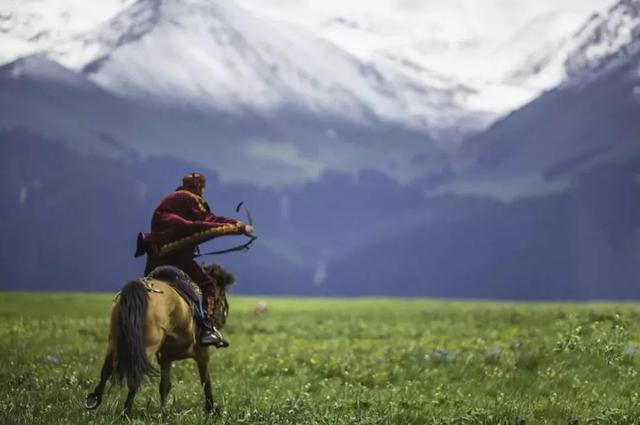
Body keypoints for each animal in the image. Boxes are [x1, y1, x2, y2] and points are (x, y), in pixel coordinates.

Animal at [83, 264, 235, 416]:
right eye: (221, 296)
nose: (221, 321)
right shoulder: (203, 353)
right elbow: (206, 382)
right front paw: (211, 410)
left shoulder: (166, 357)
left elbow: (165, 385)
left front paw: (164, 411)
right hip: (147, 347)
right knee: (135, 377)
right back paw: (126, 413)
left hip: (114, 341)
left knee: (106, 370)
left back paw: (94, 400)